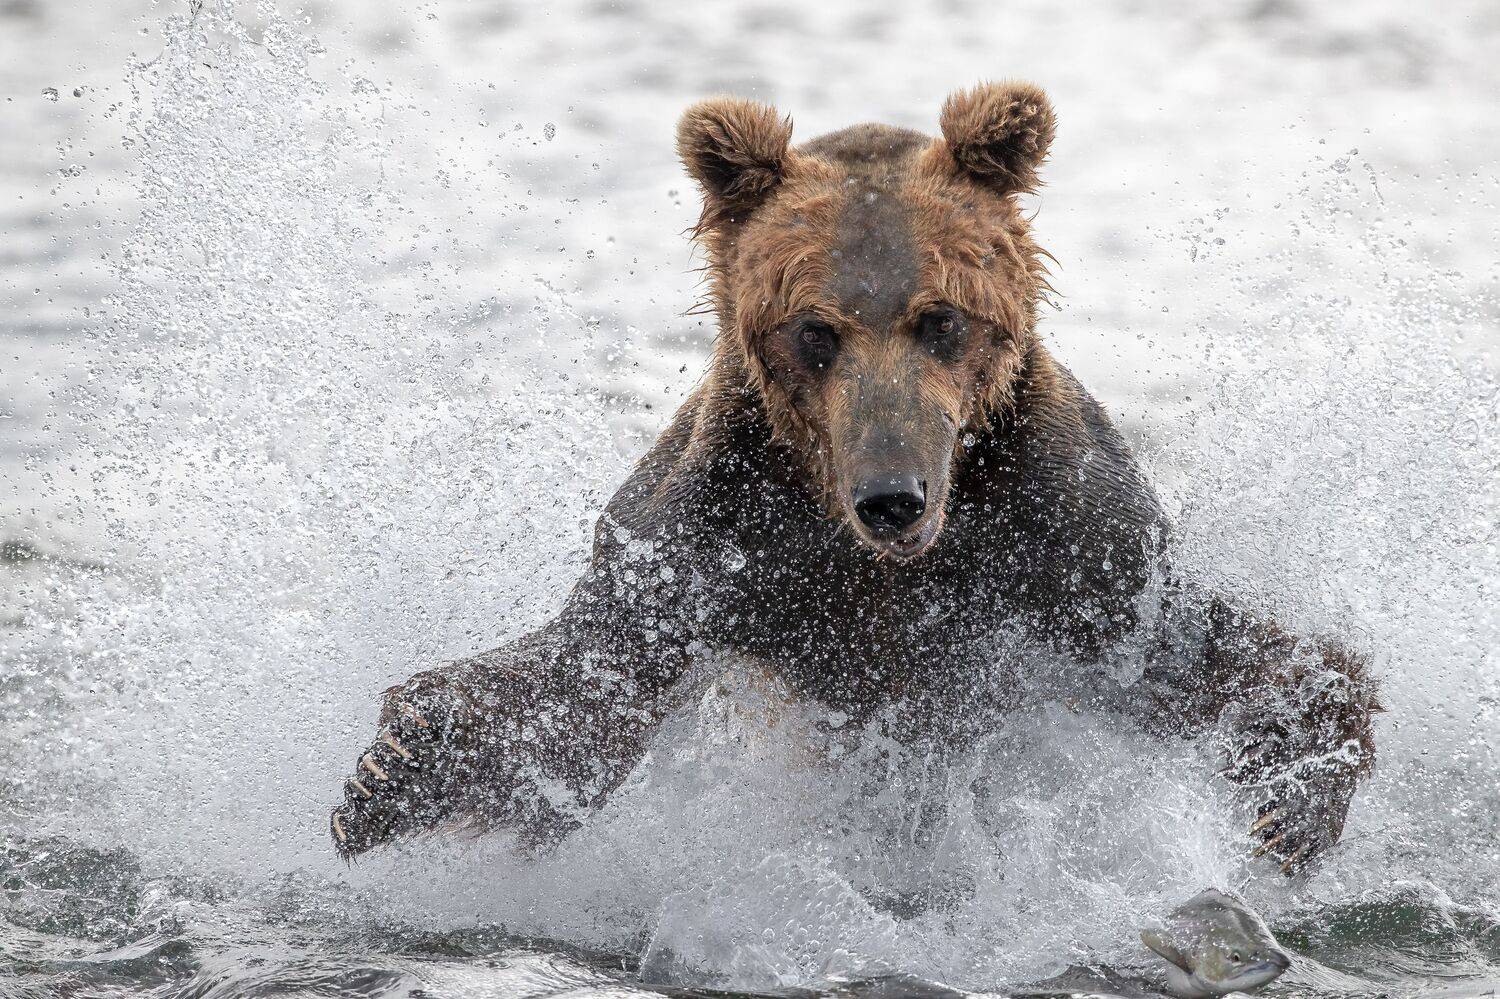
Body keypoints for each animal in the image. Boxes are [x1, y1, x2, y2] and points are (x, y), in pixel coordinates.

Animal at [328, 82, 1379, 876]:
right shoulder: (705, 546)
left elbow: (1211, 660)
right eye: (814, 329)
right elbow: (582, 699)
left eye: (942, 317)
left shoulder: (1077, 550)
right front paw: (390, 772)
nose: (892, 496)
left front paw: (1289, 801)